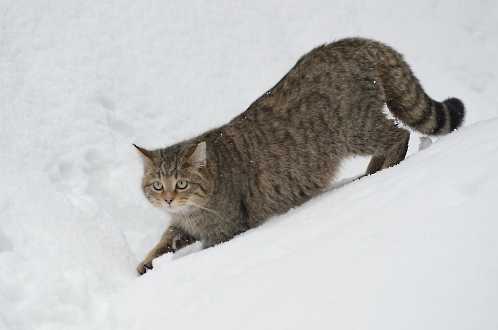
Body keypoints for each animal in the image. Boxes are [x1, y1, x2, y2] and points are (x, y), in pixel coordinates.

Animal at [132, 37, 462, 274]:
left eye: (182, 183)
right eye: (157, 185)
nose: (168, 199)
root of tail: (356, 43)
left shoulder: (226, 229)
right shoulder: (181, 226)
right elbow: (163, 243)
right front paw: (147, 262)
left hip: (356, 129)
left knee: (399, 134)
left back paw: (384, 169)